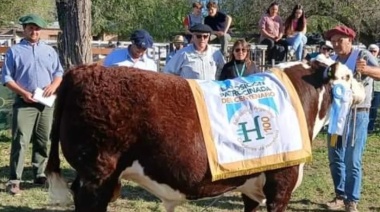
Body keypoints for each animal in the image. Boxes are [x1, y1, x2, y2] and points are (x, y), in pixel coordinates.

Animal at [44, 60, 366, 212]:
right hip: (98, 174)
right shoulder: (281, 183)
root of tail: (83, 71)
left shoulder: (252, 186)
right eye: (349, 77)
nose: (364, 91)